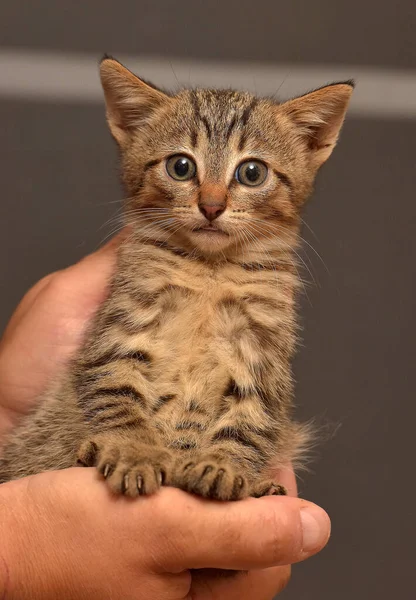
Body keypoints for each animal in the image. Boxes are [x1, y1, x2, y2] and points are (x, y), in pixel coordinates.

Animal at [0, 58, 352, 502]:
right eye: (180, 167)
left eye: (252, 173)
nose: (212, 206)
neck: (209, 271)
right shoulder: (118, 332)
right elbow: (119, 393)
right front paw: (134, 451)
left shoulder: (263, 355)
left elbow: (249, 420)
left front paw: (223, 465)